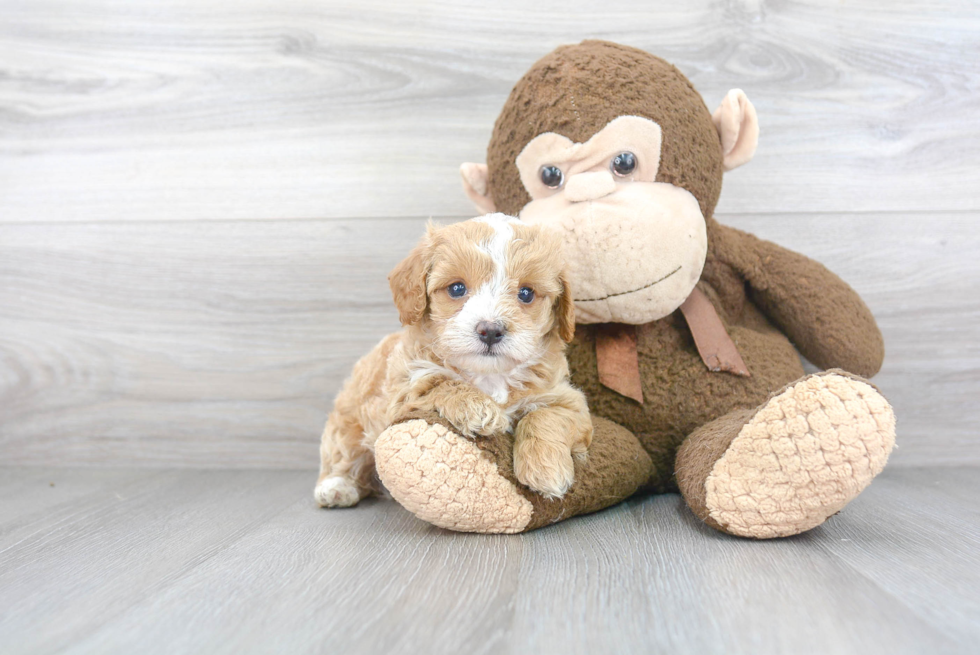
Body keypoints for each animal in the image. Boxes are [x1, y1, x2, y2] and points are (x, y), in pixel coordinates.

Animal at [316, 214, 588, 508]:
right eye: (457, 288)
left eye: (526, 293)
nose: (490, 330)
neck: (489, 376)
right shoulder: (401, 389)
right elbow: (438, 381)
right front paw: (477, 408)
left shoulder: (568, 400)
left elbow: (547, 416)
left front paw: (547, 470)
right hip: (351, 418)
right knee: (343, 452)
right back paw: (336, 487)